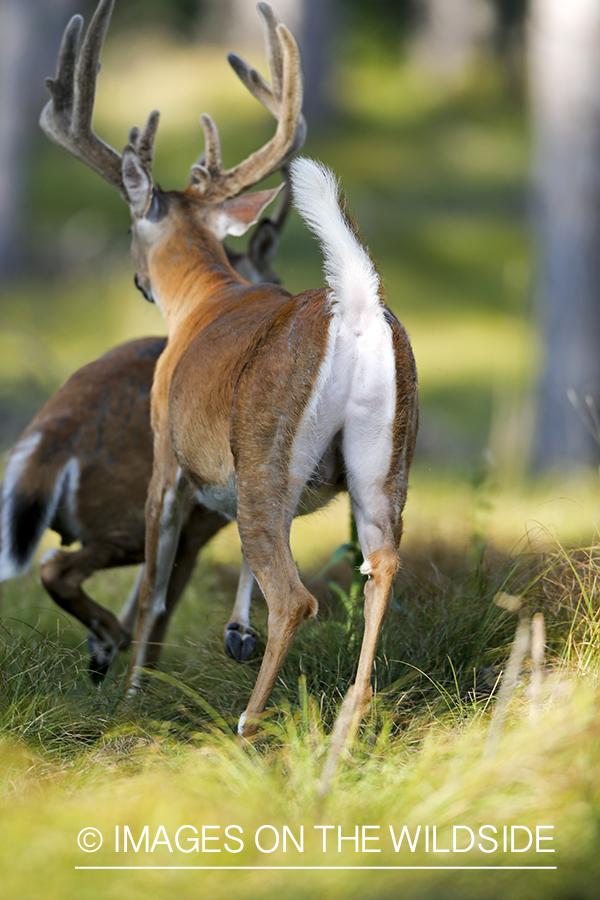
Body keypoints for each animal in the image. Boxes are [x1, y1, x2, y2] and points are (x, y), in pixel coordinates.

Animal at [38, 0, 418, 760]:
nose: (137, 280)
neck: (204, 301)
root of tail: (358, 304)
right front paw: (232, 633)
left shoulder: (168, 457)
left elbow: (154, 589)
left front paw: (130, 693)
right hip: (383, 462)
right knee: (381, 565)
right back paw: (346, 721)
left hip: (265, 455)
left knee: (295, 596)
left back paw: (248, 723)